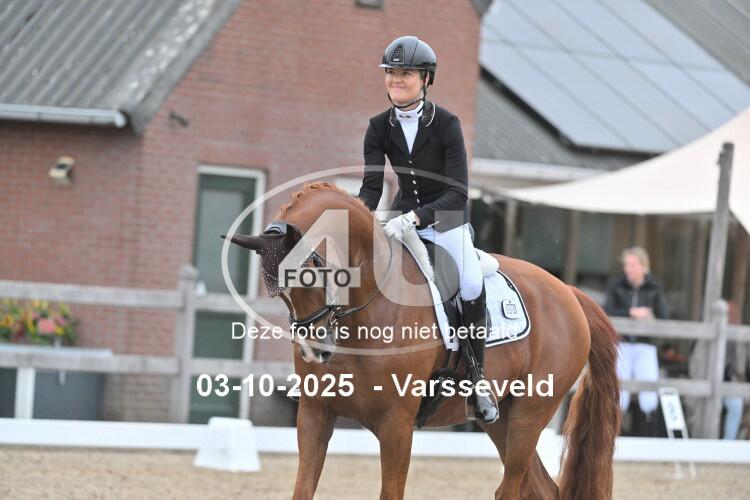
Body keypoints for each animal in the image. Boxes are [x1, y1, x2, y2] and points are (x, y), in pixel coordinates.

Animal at [227, 182, 620, 500]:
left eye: (313, 275)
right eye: (278, 292)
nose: (317, 349)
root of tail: (569, 292)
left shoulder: (397, 424)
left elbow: (391, 493)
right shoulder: (315, 414)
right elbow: (303, 489)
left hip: (529, 413)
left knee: (511, 489)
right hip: (501, 418)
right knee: (541, 488)